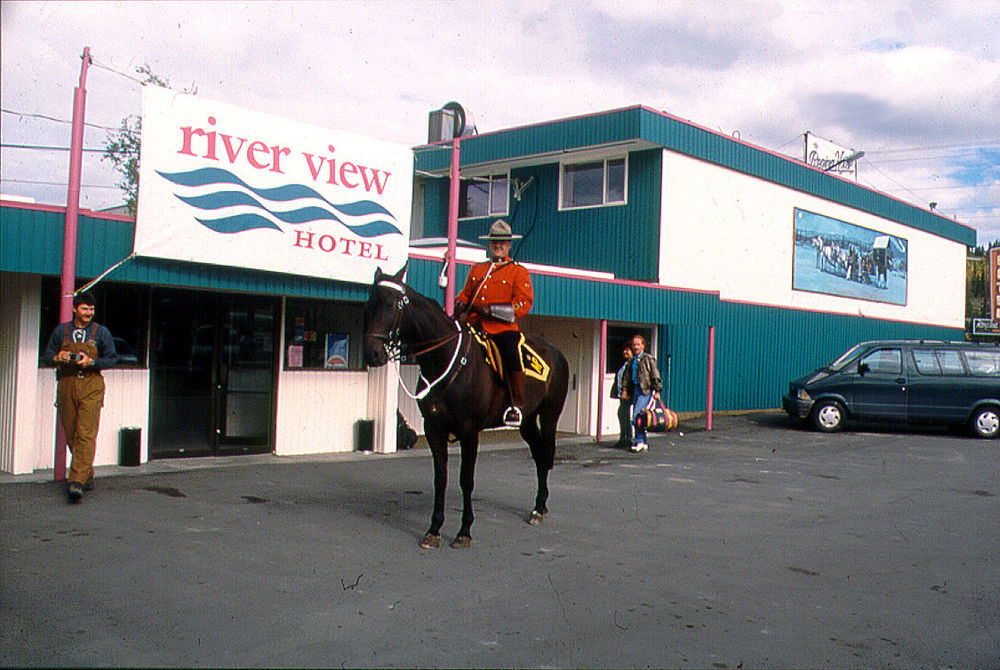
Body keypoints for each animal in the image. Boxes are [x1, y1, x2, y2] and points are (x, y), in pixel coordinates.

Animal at [366, 266, 572, 548]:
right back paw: (538, 507)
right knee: (540, 456)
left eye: (390, 304)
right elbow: (440, 479)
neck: (445, 360)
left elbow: (466, 480)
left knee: (545, 454)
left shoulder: (469, 431)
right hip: (527, 421)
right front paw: (434, 529)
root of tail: (556, 351)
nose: (372, 354)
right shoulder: (434, 429)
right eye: (369, 303)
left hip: (550, 416)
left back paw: (539, 509)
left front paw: (464, 530)